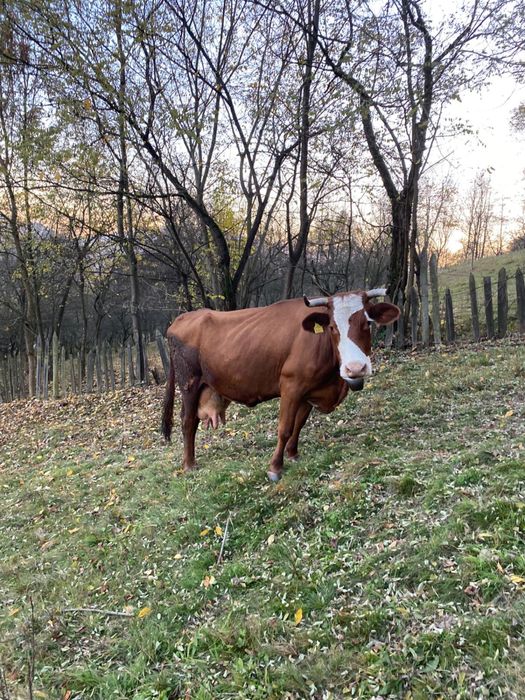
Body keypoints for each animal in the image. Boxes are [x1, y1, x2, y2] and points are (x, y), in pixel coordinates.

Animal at [161, 289, 400, 481]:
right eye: (332, 327)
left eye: (367, 323)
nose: (355, 368)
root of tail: (182, 318)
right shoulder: (290, 386)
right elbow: (285, 428)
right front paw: (275, 467)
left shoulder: (309, 391)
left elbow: (299, 424)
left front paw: (293, 454)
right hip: (189, 383)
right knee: (188, 421)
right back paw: (189, 464)